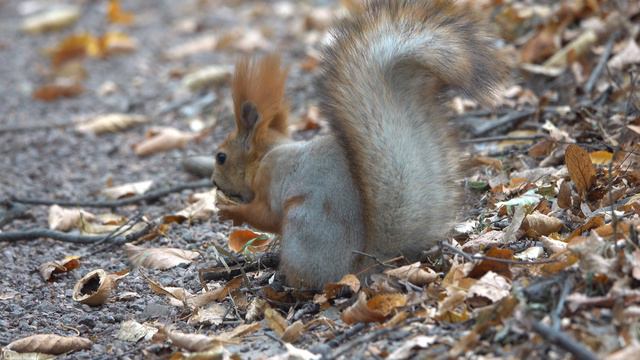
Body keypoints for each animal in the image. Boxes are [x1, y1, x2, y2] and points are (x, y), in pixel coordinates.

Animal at [212, 0, 508, 286]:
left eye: (221, 157)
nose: (214, 182)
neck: (267, 155)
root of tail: (362, 264)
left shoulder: (270, 180)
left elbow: (265, 215)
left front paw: (230, 211)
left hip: (300, 223)